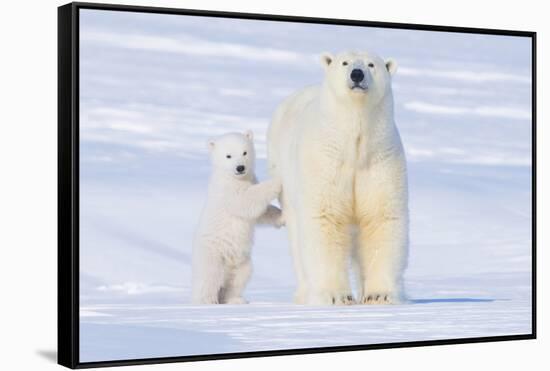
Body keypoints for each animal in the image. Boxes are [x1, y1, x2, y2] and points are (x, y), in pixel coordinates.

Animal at [192, 131, 282, 306]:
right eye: (228, 156)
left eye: (244, 152)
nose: (240, 168)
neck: (234, 178)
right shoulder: (227, 191)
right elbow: (246, 201)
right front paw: (276, 182)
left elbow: (259, 214)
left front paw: (282, 217)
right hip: (213, 253)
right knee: (210, 276)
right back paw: (207, 301)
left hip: (241, 261)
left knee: (239, 277)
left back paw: (235, 299)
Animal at [268, 50, 410, 306]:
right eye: (345, 62)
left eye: (371, 64)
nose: (357, 74)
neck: (353, 144)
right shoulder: (325, 160)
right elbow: (325, 217)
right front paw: (337, 296)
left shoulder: (380, 159)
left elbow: (381, 218)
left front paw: (379, 295)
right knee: (297, 238)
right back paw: (304, 293)